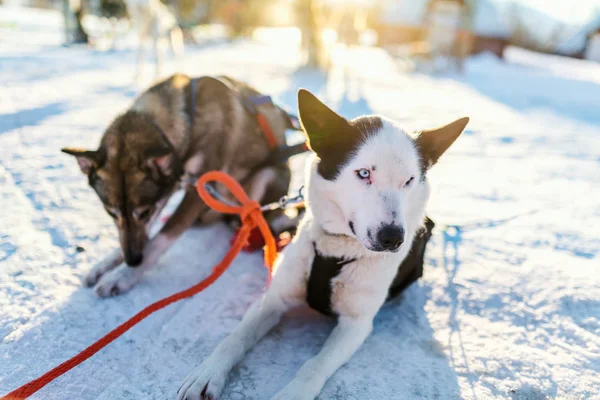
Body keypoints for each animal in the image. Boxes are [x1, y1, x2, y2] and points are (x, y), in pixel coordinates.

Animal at [62, 75, 292, 298]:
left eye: (144, 212)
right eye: (111, 214)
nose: (133, 260)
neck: (189, 124)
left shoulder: (197, 192)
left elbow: (161, 238)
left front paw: (123, 276)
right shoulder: (167, 191)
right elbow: (145, 235)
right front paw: (106, 264)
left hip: (265, 176)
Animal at [178, 89, 468, 398]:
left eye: (409, 180)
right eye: (364, 173)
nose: (393, 238)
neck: (337, 249)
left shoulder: (356, 324)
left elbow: (315, 365)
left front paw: (292, 393)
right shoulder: (273, 298)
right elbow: (236, 336)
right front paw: (207, 372)